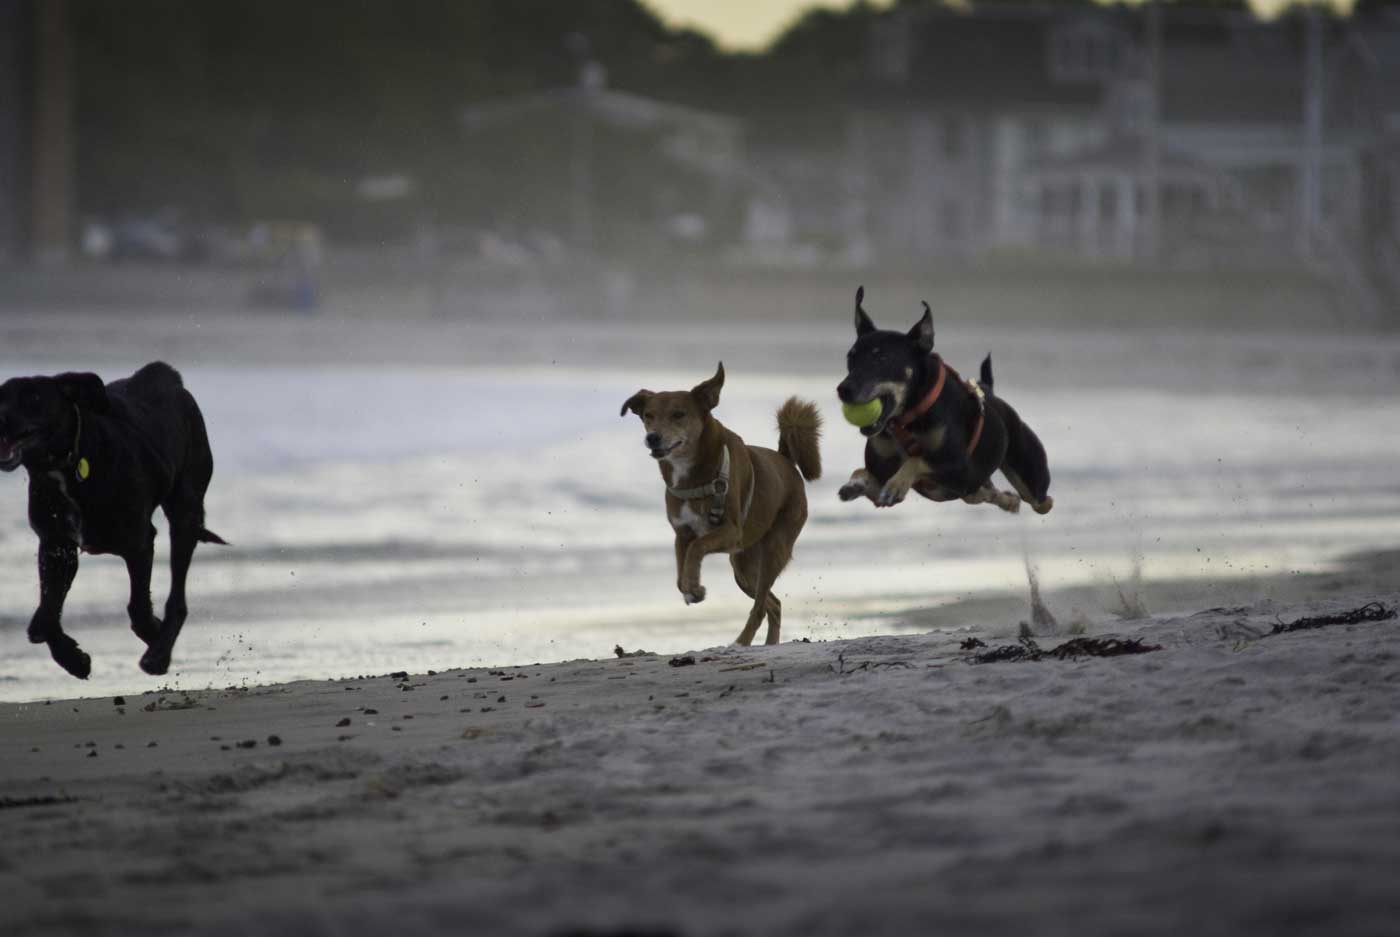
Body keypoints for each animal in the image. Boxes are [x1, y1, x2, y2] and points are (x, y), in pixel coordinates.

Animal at [0, 361, 224, 675]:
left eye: (33, 398)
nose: (0, 419)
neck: (70, 465)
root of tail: (164, 374)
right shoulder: (56, 545)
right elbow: (44, 616)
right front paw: (73, 658)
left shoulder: (139, 543)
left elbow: (139, 609)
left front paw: (155, 643)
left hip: (186, 510)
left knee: (177, 595)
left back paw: (159, 647)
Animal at [621, 364, 817, 644]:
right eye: (648, 415)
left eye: (678, 414)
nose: (652, 438)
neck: (692, 475)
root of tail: (785, 460)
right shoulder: (682, 534)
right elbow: (681, 574)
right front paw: (692, 589)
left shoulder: (730, 530)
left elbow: (697, 548)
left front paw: (694, 587)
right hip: (744, 567)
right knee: (773, 603)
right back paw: (769, 644)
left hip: (773, 549)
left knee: (760, 606)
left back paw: (741, 642)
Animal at [828, 288, 1052, 515]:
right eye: (850, 357)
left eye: (882, 359)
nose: (843, 390)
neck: (907, 418)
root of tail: (989, 392)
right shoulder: (880, 475)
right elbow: (862, 472)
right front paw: (854, 485)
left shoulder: (960, 468)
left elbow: (916, 461)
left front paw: (896, 485)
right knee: (987, 493)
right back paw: (1009, 501)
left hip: (1031, 482)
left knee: (1042, 501)